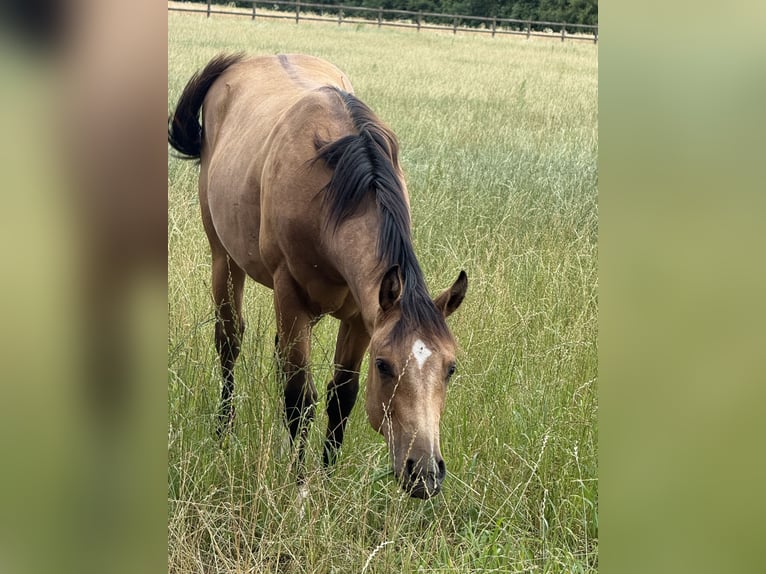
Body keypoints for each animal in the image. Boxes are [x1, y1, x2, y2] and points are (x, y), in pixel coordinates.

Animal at [168, 53, 467, 498]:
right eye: (384, 365)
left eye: (450, 368)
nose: (424, 473)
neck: (330, 196)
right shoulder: (289, 294)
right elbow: (298, 398)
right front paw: (298, 484)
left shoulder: (362, 313)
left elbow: (340, 397)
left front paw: (327, 477)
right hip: (224, 259)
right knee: (229, 341)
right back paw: (224, 431)